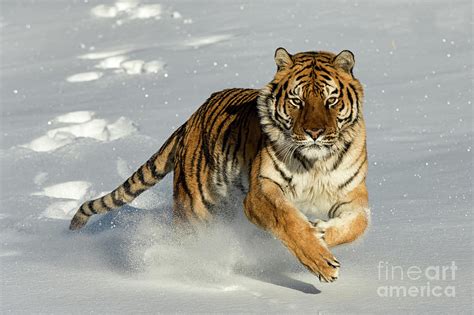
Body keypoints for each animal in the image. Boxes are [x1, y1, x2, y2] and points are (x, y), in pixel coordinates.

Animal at [69, 47, 370, 284]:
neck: (316, 163)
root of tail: (190, 120)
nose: (314, 133)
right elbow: (288, 221)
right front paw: (321, 261)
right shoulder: (261, 192)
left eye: (331, 100)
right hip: (195, 212)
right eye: (297, 101)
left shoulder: (352, 195)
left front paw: (321, 231)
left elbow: (358, 225)